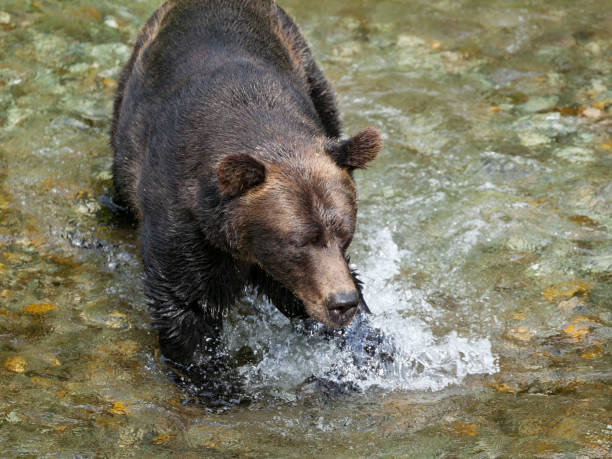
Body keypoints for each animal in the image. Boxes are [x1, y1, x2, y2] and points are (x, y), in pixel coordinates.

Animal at [107, 0, 380, 372]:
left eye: (345, 233)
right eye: (297, 241)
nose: (342, 302)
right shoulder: (187, 225)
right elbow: (188, 310)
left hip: (308, 71)